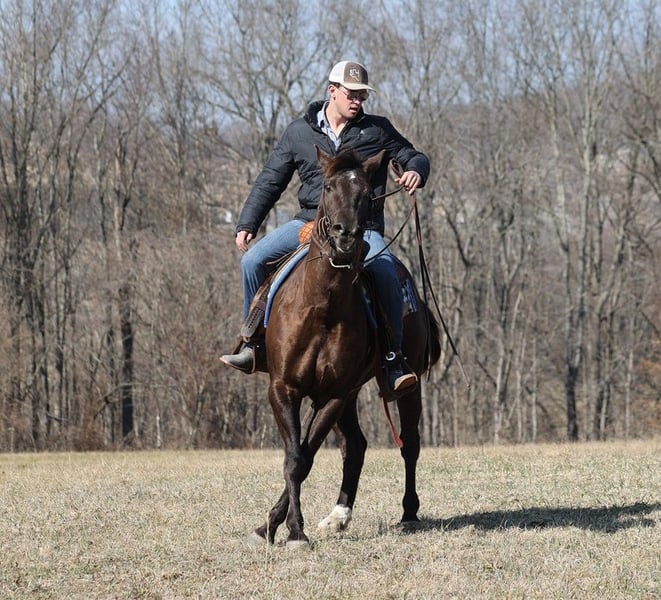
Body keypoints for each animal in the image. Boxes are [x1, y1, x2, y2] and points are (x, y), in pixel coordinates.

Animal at [251, 146, 441, 547]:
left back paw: (409, 513)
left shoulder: (333, 393)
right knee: (355, 446)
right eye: (327, 186)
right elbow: (297, 456)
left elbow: (303, 457)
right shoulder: (285, 389)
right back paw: (338, 515)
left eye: (367, 192)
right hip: (352, 395)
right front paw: (277, 525)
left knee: (410, 443)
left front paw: (293, 530)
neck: (322, 306)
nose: (345, 237)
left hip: (405, 385)